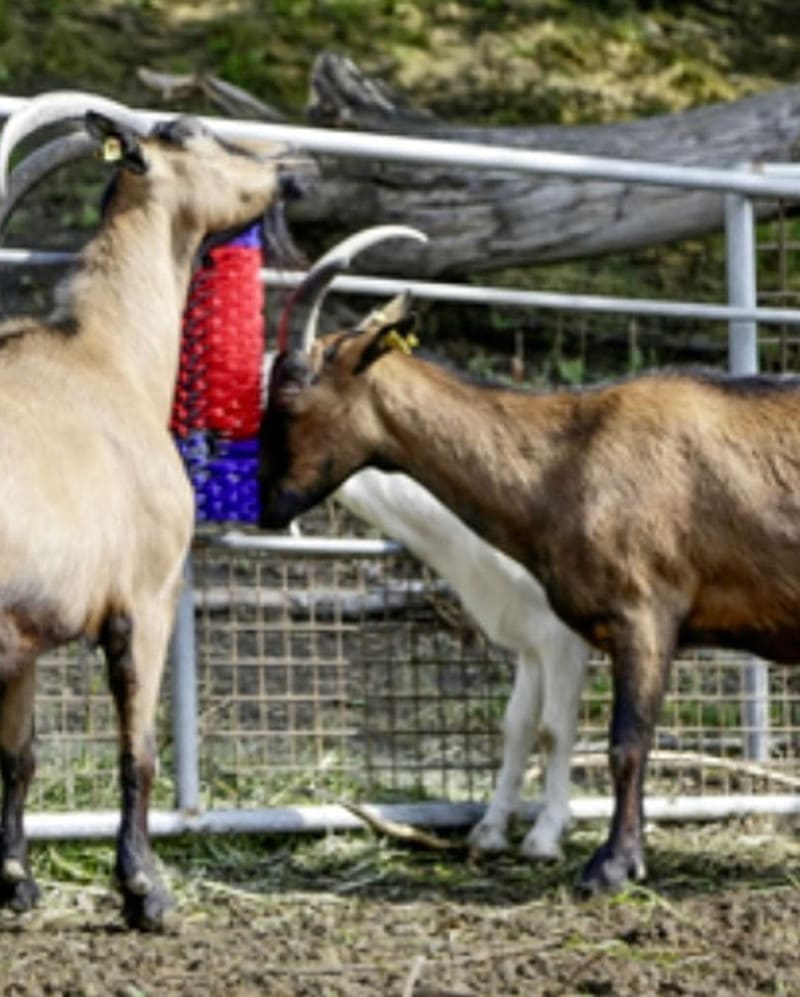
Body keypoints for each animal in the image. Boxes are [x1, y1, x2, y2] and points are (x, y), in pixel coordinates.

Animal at [0, 89, 306, 928]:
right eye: (192, 130)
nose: (293, 165)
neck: (105, 357)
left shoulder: (25, 635)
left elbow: (19, 753)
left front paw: (16, 881)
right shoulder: (146, 597)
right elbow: (137, 749)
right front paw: (145, 890)